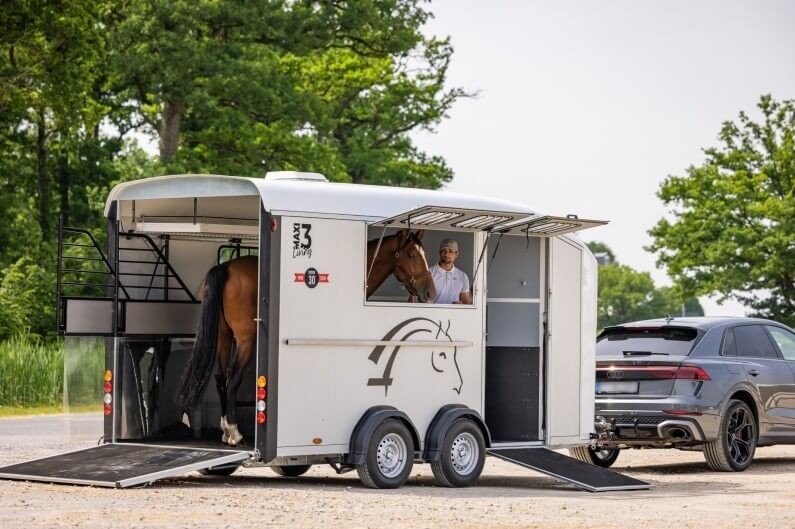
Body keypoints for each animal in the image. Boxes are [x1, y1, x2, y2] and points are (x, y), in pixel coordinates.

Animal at [177, 228, 434, 447]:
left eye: (425, 254)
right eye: (412, 254)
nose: (430, 292)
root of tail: (227, 268)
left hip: (224, 335)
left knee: (220, 377)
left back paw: (225, 431)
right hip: (244, 339)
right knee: (232, 376)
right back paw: (235, 432)